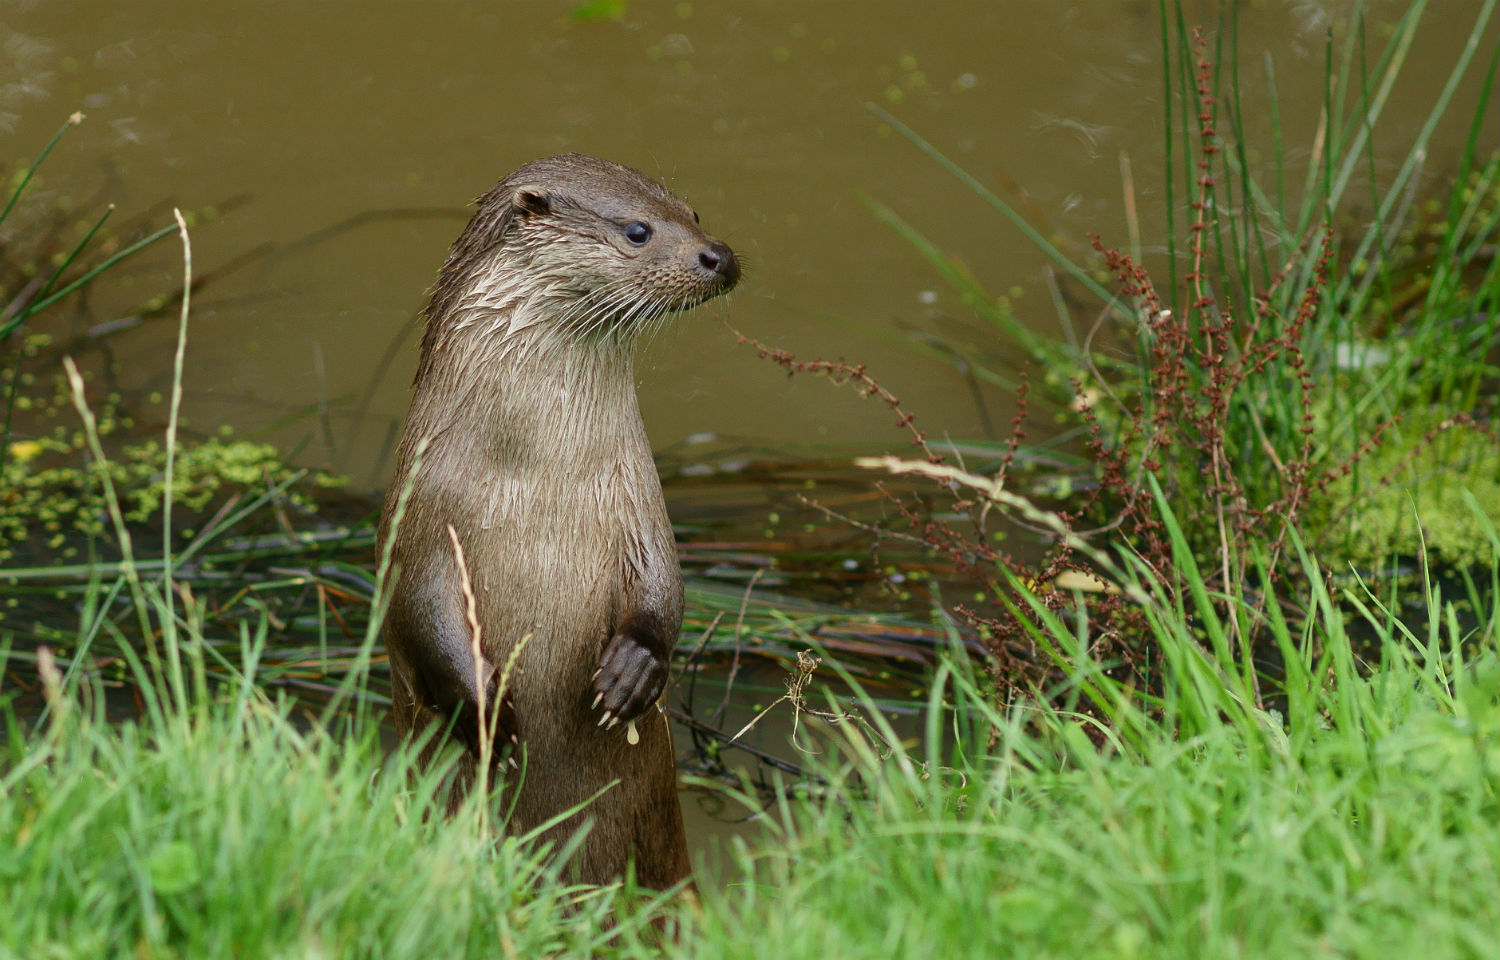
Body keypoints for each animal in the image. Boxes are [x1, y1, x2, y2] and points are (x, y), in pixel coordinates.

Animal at [378, 153, 741, 888]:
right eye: (638, 230)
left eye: (692, 212)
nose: (719, 255)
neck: (538, 473)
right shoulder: (421, 514)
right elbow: (417, 610)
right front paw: (488, 713)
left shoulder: (639, 500)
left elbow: (665, 586)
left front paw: (632, 673)